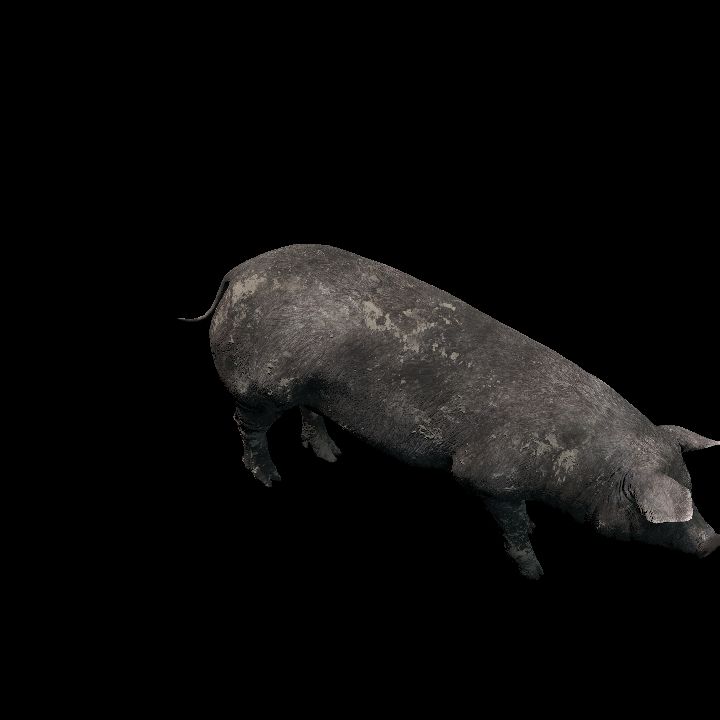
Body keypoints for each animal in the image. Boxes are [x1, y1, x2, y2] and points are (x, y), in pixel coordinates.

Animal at [180, 244, 719, 578]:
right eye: (655, 511)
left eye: (691, 482)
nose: (713, 541)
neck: (582, 466)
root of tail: (236, 274)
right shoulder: (489, 474)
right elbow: (513, 527)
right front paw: (535, 571)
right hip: (258, 384)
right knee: (248, 425)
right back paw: (270, 481)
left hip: (309, 388)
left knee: (308, 414)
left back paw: (332, 458)